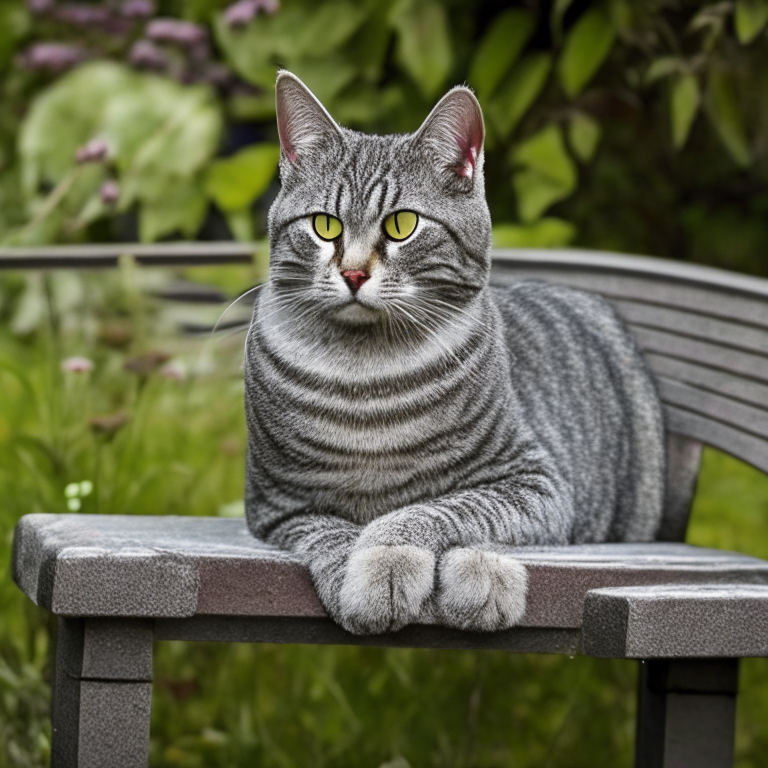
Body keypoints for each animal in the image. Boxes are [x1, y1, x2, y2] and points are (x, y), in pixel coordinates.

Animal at [242, 70, 664, 636]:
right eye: (325, 225)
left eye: (401, 225)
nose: (352, 273)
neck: (366, 378)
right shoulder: (278, 505)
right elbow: (332, 534)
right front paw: (366, 582)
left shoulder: (535, 484)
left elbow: (431, 510)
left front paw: (403, 561)